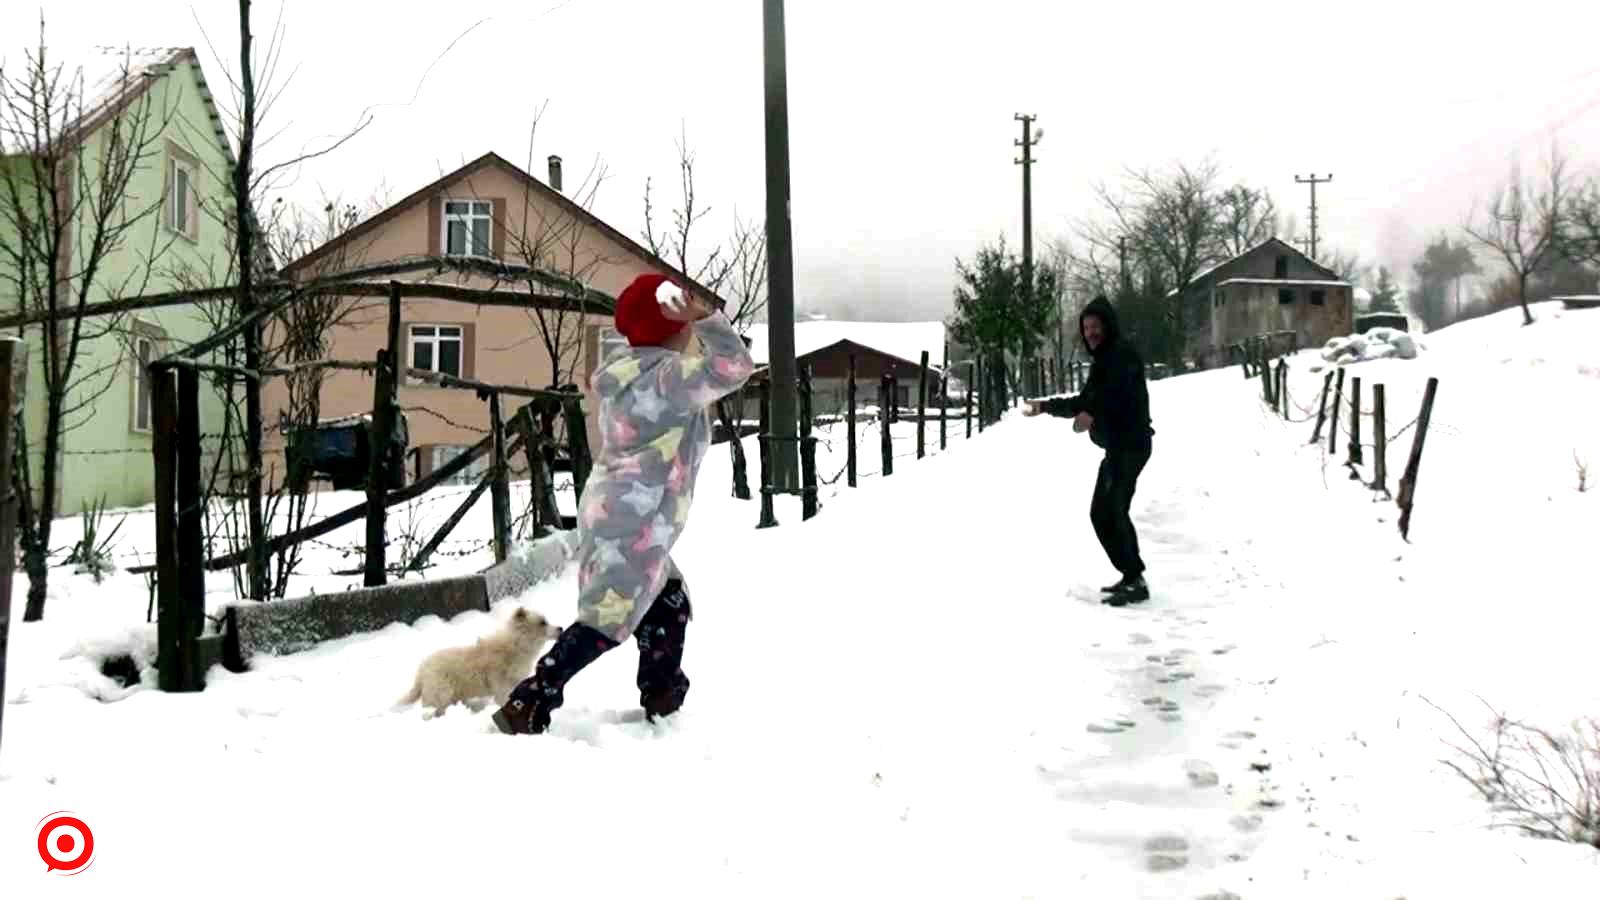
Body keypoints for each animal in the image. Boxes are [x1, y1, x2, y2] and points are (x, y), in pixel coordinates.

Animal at [395, 602, 563, 714]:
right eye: (542, 622)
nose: (561, 628)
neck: (516, 645)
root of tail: (421, 672)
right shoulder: (501, 688)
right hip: (441, 695)